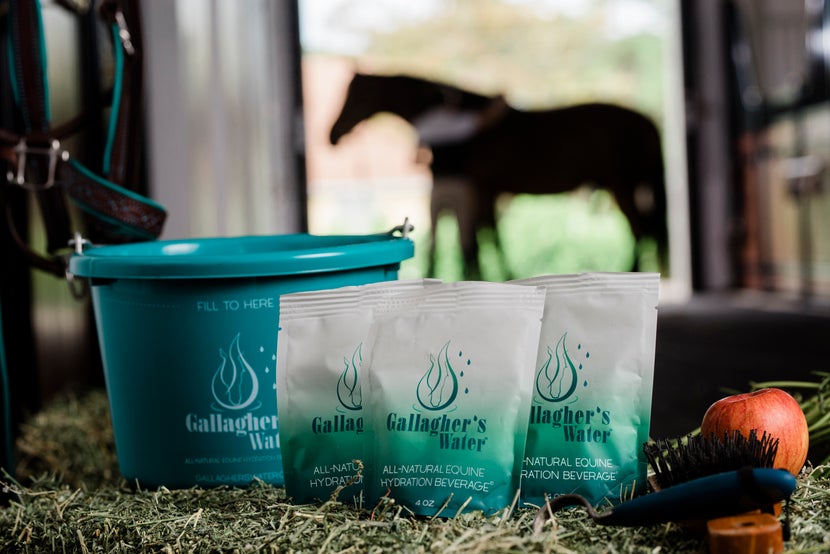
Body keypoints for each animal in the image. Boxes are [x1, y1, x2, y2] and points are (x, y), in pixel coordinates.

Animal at [332, 74, 668, 276]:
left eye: (356, 95)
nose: (332, 135)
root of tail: (649, 122)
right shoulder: (487, 192)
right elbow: (488, 238)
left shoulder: (480, 190)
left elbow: (481, 239)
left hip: (621, 185)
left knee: (642, 230)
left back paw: (631, 271)